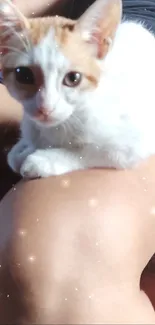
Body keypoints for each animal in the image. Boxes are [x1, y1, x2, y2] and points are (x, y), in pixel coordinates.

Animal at [0, 0, 155, 177]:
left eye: (73, 78)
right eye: (23, 75)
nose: (45, 108)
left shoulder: (131, 145)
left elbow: (91, 151)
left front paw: (44, 160)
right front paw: (23, 148)